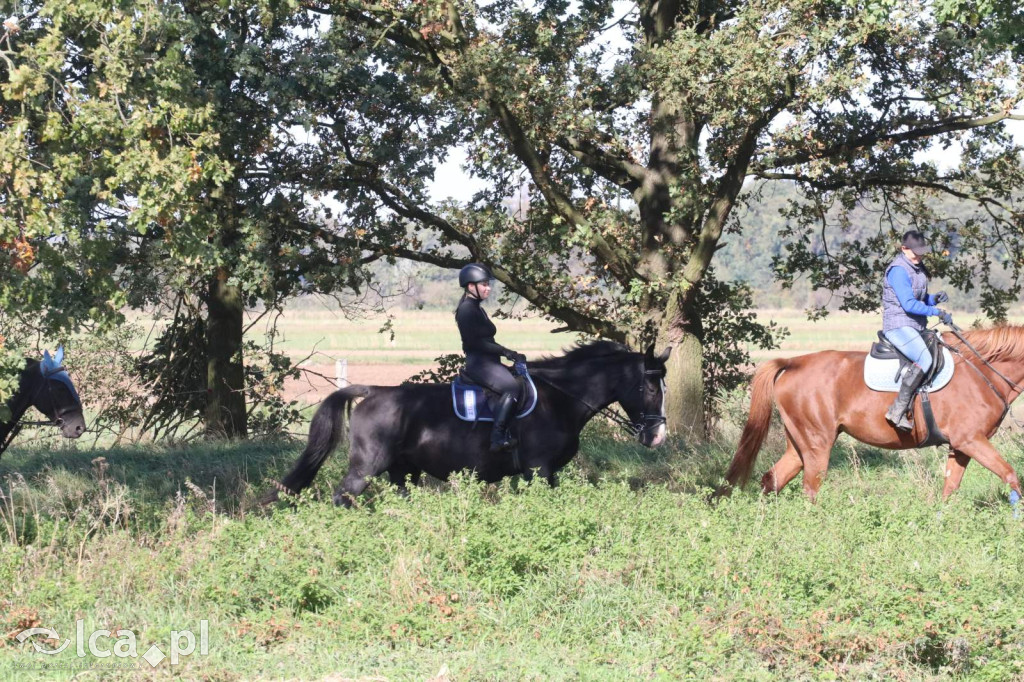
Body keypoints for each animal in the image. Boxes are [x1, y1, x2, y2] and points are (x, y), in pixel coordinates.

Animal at [264, 339, 671, 503]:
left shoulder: (541, 474)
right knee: (342, 498)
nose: (657, 436)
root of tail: (375, 391)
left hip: (403, 472)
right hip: (366, 468)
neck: (559, 398)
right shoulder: (539, 470)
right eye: (651, 387)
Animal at [720, 323, 1024, 499]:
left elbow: (949, 490)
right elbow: (1011, 475)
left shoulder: (961, 447)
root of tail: (794, 363)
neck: (982, 372)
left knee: (773, 478)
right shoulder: (971, 440)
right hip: (818, 444)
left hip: (799, 443)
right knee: (810, 487)